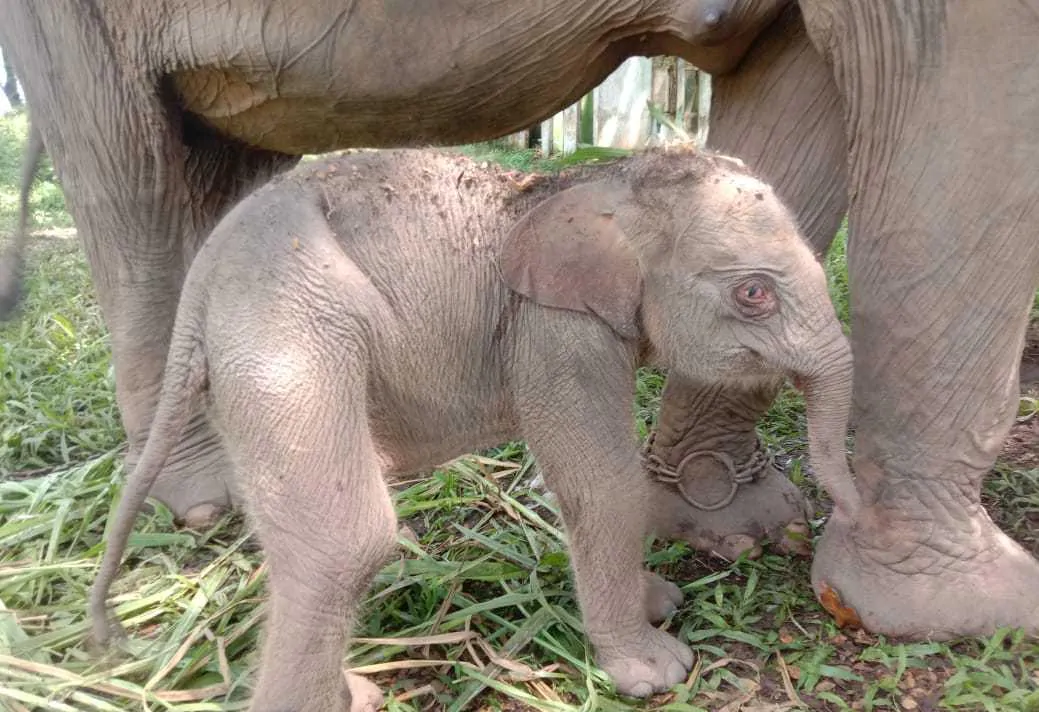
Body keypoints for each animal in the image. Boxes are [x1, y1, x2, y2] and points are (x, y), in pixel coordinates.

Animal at [89, 147, 856, 706]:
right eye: (753, 293)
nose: (834, 524)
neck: (599, 180)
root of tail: (203, 278)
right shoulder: (549, 329)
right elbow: (604, 484)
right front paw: (655, 670)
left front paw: (659, 603)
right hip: (286, 335)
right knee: (344, 541)